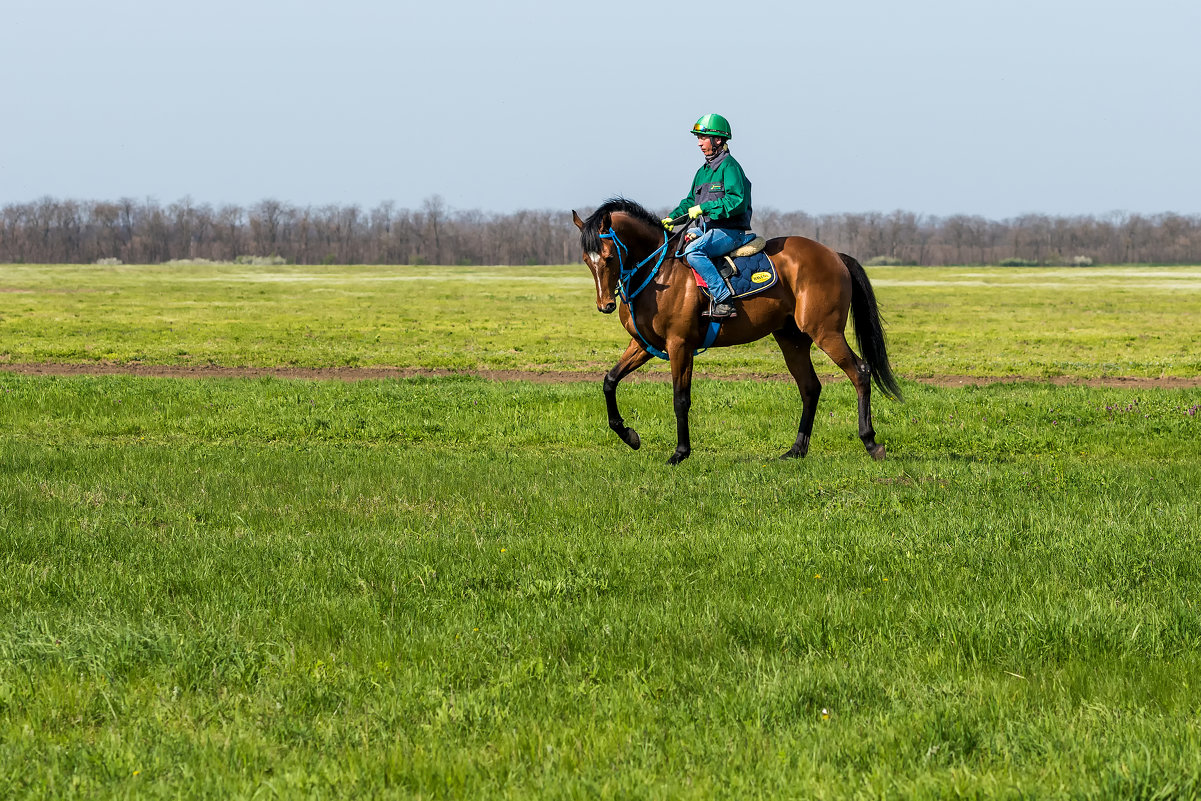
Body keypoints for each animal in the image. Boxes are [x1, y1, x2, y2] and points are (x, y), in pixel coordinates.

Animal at [571, 196, 903, 465]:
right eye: (587, 259)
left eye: (609, 257)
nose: (605, 304)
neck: (659, 273)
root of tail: (834, 255)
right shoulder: (643, 344)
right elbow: (609, 381)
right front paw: (629, 435)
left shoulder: (680, 345)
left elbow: (680, 399)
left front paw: (680, 453)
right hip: (792, 341)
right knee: (810, 387)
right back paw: (796, 450)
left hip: (826, 332)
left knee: (860, 372)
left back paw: (871, 442)